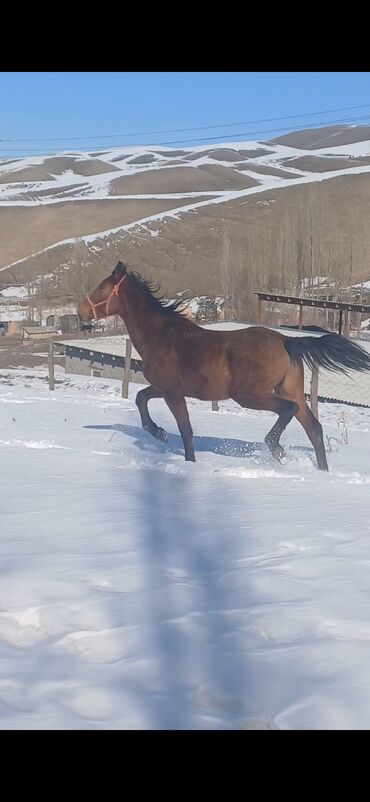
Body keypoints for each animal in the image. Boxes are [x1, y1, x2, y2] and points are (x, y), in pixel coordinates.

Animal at [76, 260, 370, 468]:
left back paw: (277, 449)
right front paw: (157, 432)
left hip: (250, 395)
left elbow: (185, 429)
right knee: (314, 429)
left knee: (289, 411)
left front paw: (185, 459)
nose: (80, 312)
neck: (161, 336)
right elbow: (140, 398)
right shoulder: (163, 388)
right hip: (290, 391)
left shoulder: (172, 392)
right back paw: (321, 471)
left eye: (101, 288)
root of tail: (287, 340)